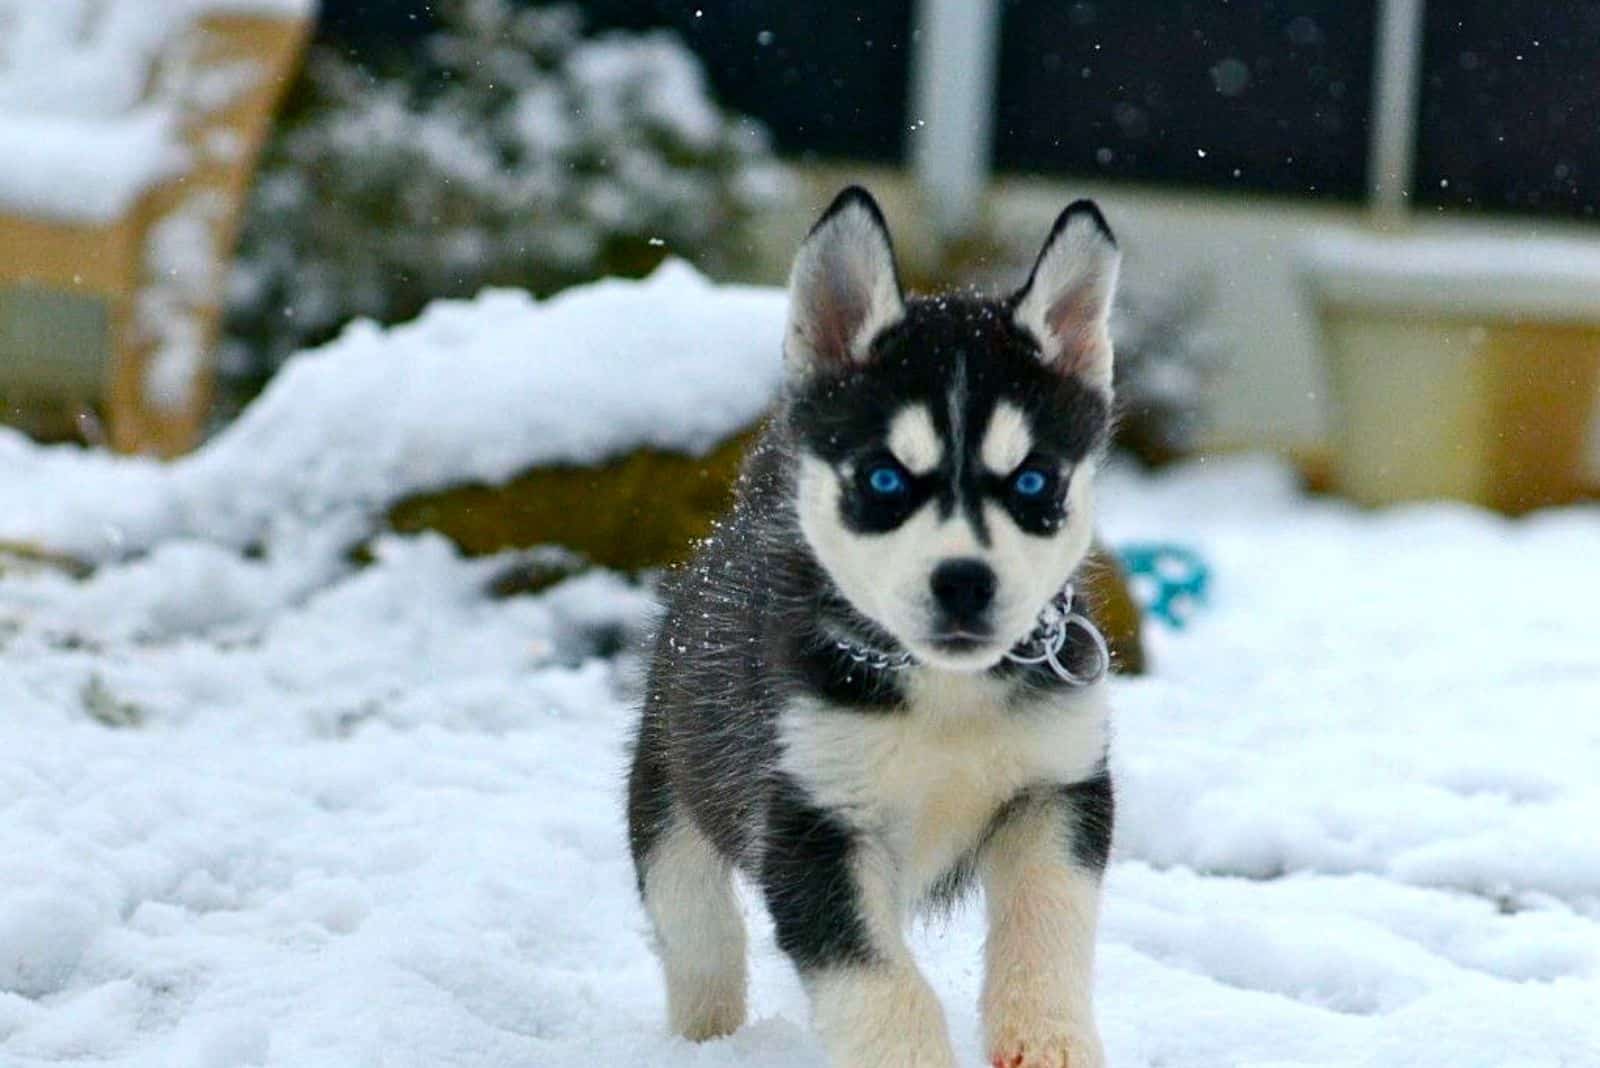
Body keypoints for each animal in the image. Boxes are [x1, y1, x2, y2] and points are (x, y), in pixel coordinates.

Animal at [630, 187, 1120, 1061]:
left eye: (1032, 481)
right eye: (886, 479)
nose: (964, 581)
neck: (944, 694)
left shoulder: (1058, 789)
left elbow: (1047, 928)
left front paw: (1047, 1040)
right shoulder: (810, 823)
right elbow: (883, 988)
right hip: (674, 797)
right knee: (697, 936)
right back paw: (707, 1038)